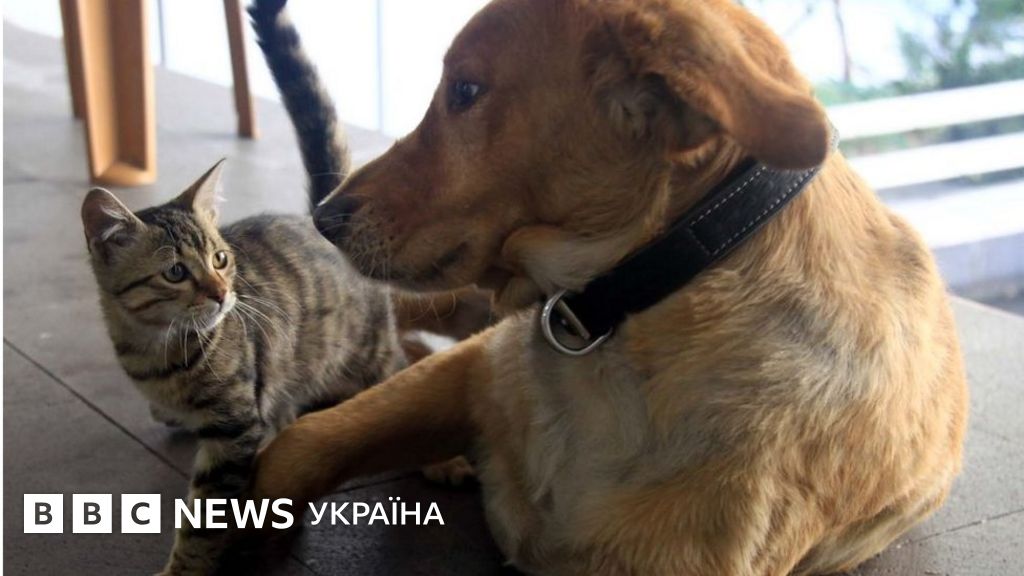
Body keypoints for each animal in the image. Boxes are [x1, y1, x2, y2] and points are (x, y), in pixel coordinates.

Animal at [80, 20, 405, 572]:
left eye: (219, 259)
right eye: (174, 272)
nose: (222, 294)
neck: (156, 348)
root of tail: (321, 219)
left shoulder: (233, 429)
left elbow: (203, 523)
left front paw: (184, 569)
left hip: (368, 349)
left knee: (401, 375)